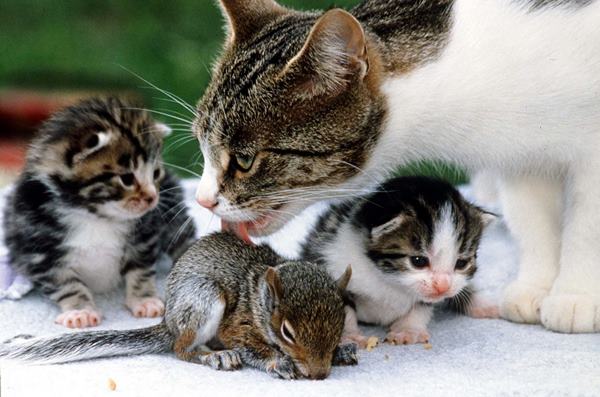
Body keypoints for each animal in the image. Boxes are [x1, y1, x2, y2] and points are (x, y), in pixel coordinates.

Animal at [0, 232, 356, 380]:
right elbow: (250, 346)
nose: (319, 374)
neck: (260, 298)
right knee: (181, 349)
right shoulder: (236, 324)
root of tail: (169, 322)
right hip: (203, 299)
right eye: (287, 332)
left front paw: (342, 350)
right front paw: (277, 362)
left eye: (340, 324)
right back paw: (215, 356)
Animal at [1, 96, 195, 328]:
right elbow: (66, 283)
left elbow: (140, 268)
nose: (152, 197)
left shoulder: (144, 234)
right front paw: (80, 310)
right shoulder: (39, 249)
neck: (94, 215)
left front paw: (144, 299)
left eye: (156, 173)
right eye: (127, 178)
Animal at [302, 176, 494, 346]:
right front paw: (348, 335)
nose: (443, 287)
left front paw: (409, 330)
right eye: (418, 261)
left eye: (461, 263)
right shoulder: (331, 260)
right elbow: (342, 307)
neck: (389, 281)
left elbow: (421, 306)